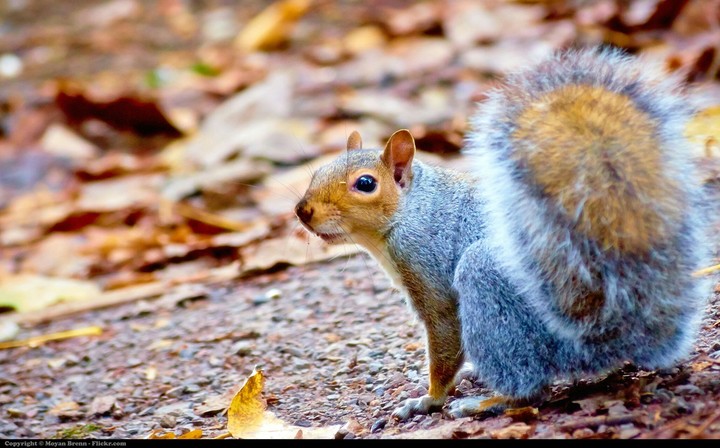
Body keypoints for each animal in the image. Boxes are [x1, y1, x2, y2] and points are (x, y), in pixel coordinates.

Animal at [294, 47, 713, 421]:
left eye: (365, 184)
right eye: (319, 171)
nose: (302, 211)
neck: (411, 210)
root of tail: (604, 340)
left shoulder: (426, 267)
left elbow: (444, 336)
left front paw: (429, 398)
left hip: (490, 288)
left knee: (530, 384)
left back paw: (487, 402)